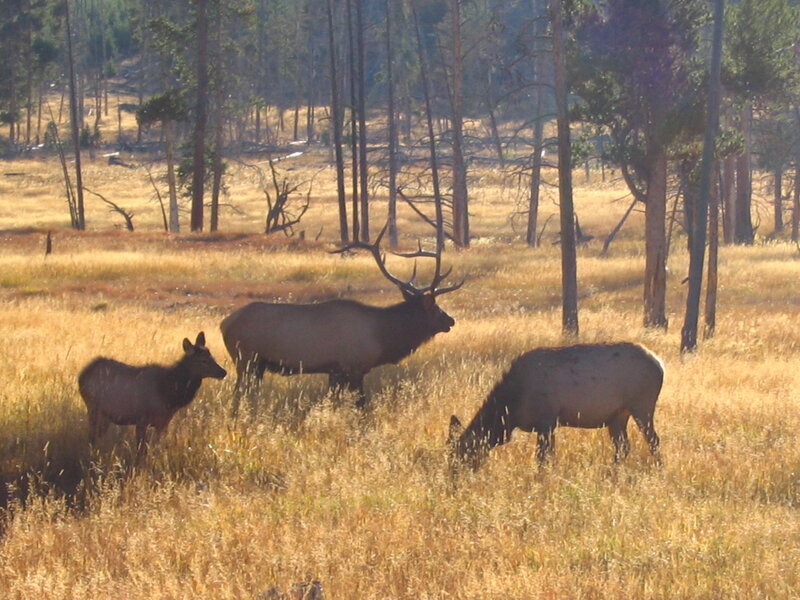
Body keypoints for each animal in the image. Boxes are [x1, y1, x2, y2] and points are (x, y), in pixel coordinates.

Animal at [78, 332, 227, 457]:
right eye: (203, 361)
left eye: (212, 356)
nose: (223, 372)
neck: (170, 395)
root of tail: (82, 375)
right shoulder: (141, 419)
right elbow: (141, 452)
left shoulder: (163, 422)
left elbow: (157, 447)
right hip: (93, 408)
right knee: (91, 437)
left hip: (104, 415)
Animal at [220, 225, 463, 408]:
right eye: (435, 308)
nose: (450, 320)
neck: (382, 336)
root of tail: (224, 323)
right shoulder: (353, 367)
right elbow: (361, 404)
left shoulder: (334, 371)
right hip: (246, 359)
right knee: (238, 393)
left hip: (256, 365)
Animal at [448, 342, 663, 471]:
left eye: (462, 455)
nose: (453, 480)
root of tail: (661, 365)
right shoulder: (549, 424)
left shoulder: (547, 420)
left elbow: (542, 458)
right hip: (618, 415)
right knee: (623, 447)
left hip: (642, 405)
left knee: (653, 440)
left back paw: (659, 470)